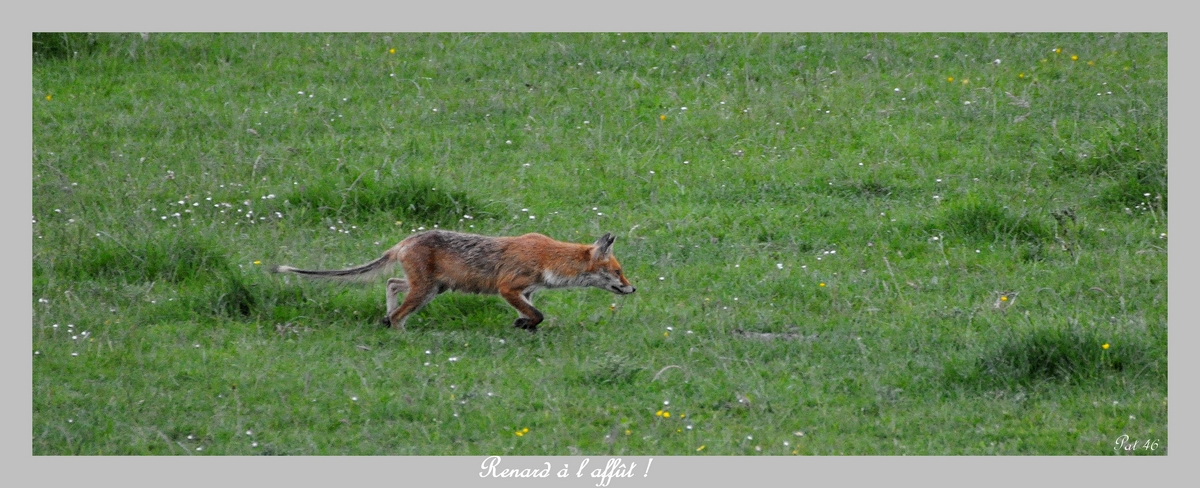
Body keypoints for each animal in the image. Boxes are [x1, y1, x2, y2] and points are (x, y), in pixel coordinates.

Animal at [267, 232, 633, 333]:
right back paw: (399, 334)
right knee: (399, 313)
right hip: (425, 291)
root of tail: (407, 239)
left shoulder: (525, 291)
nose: (633, 288)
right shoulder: (508, 288)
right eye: (618, 271)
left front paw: (523, 325)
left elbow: (532, 312)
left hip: (431, 289)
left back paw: (385, 317)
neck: (547, 258)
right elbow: (538, 314)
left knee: (391, 284)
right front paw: (525, 325)